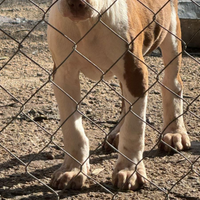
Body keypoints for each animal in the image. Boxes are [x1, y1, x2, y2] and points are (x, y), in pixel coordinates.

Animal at [47, 0, 191, 191]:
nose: (76, 3)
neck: (88, 23)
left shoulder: (135, 72)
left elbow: (134, 128)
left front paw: (130, 170)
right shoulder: (64, 75)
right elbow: (72, 128)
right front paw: (73, 169)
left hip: (171, 31)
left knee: (172, 83)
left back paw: (175, 132)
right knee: (125, 99)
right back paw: (117, 133)